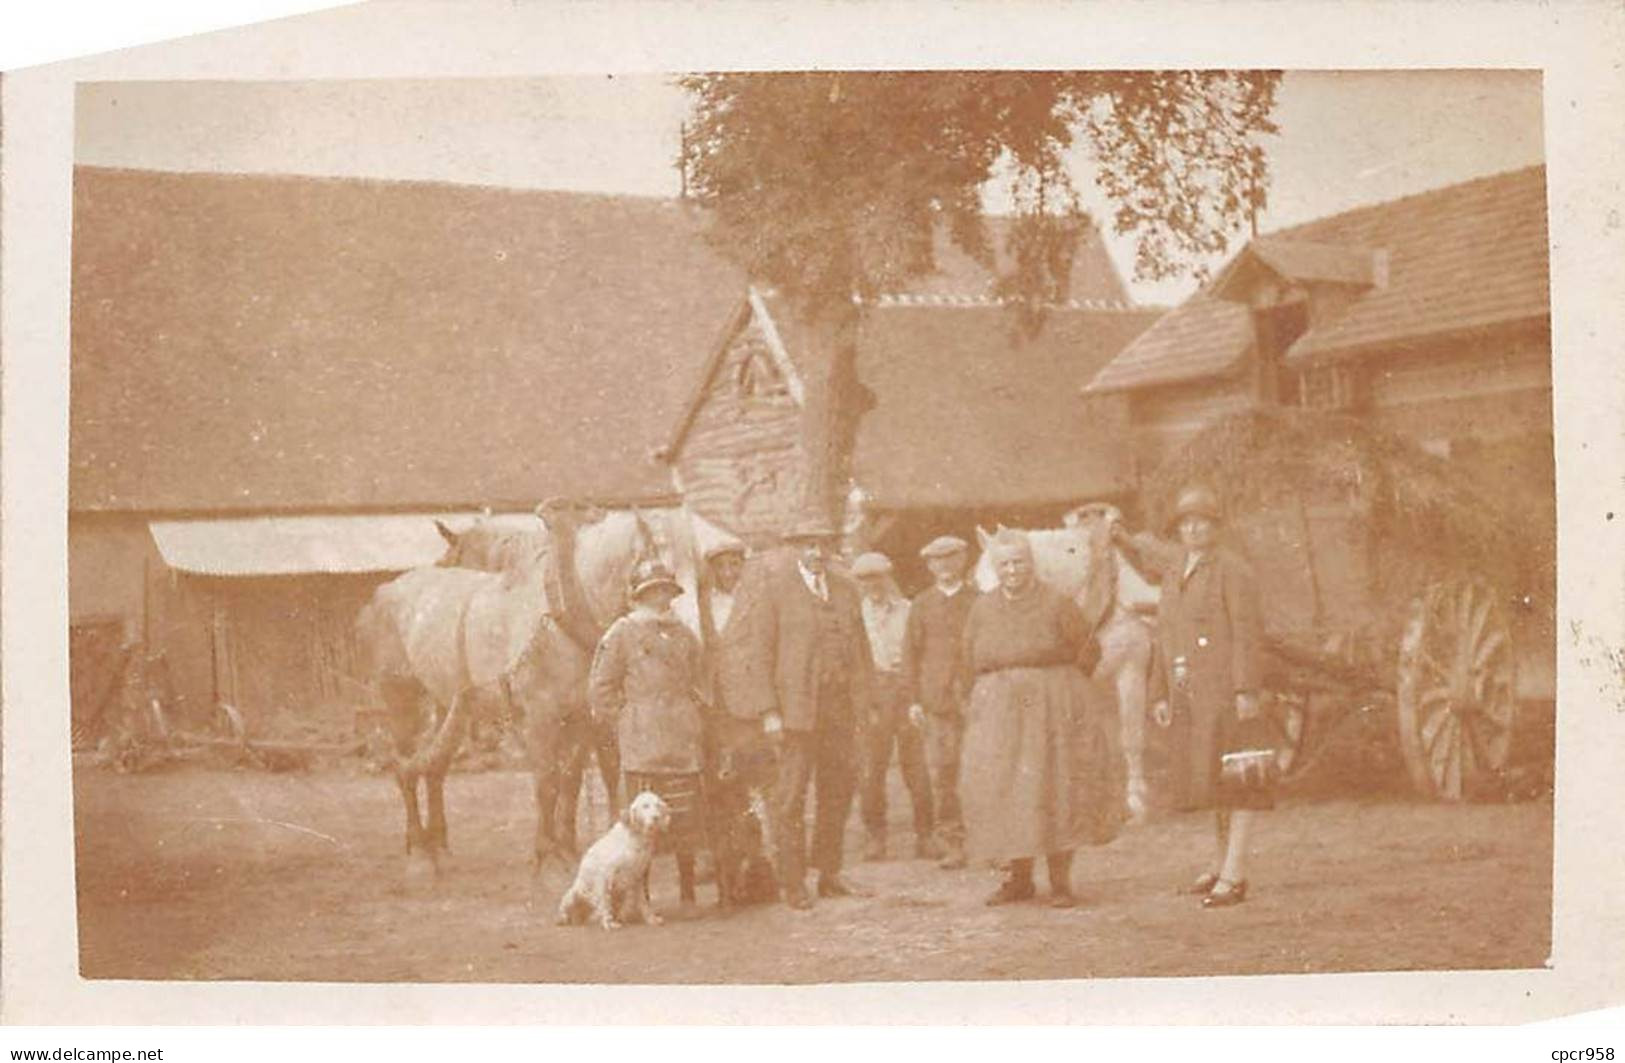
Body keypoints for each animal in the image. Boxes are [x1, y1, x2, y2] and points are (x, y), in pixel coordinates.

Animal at [552, 789, 666, 936]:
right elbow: (605, 903)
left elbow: (644, 901)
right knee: (568, 912)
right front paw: (608, 923)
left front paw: (651, 919)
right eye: (645, 806)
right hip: (573, 894)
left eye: (658, 805)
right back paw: (565, 919)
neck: (636, 837)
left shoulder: (638, 876)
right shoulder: (605, 875)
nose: (656, 817)